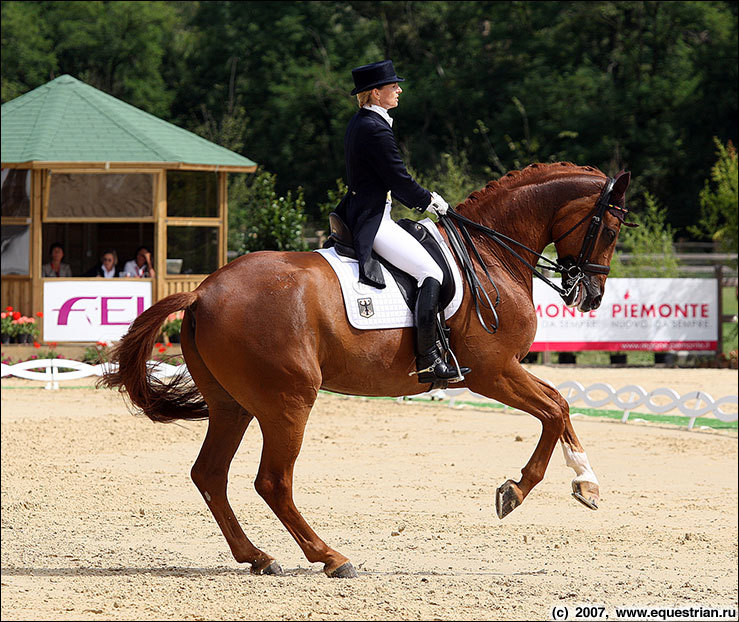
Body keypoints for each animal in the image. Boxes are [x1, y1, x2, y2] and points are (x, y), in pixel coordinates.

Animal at [102, 162, 636, 580]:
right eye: (610, 232)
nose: (591, 296)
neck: (491, 255)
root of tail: (202, 291)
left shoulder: (500, 371)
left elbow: (560, 406)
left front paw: (583, 482)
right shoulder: (491, 372)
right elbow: (553, 410)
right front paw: (521, 490)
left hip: (233, 405)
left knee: (211, 474)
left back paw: (257, 556)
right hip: (288, 402)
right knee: (272, 482)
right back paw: (331, 558)